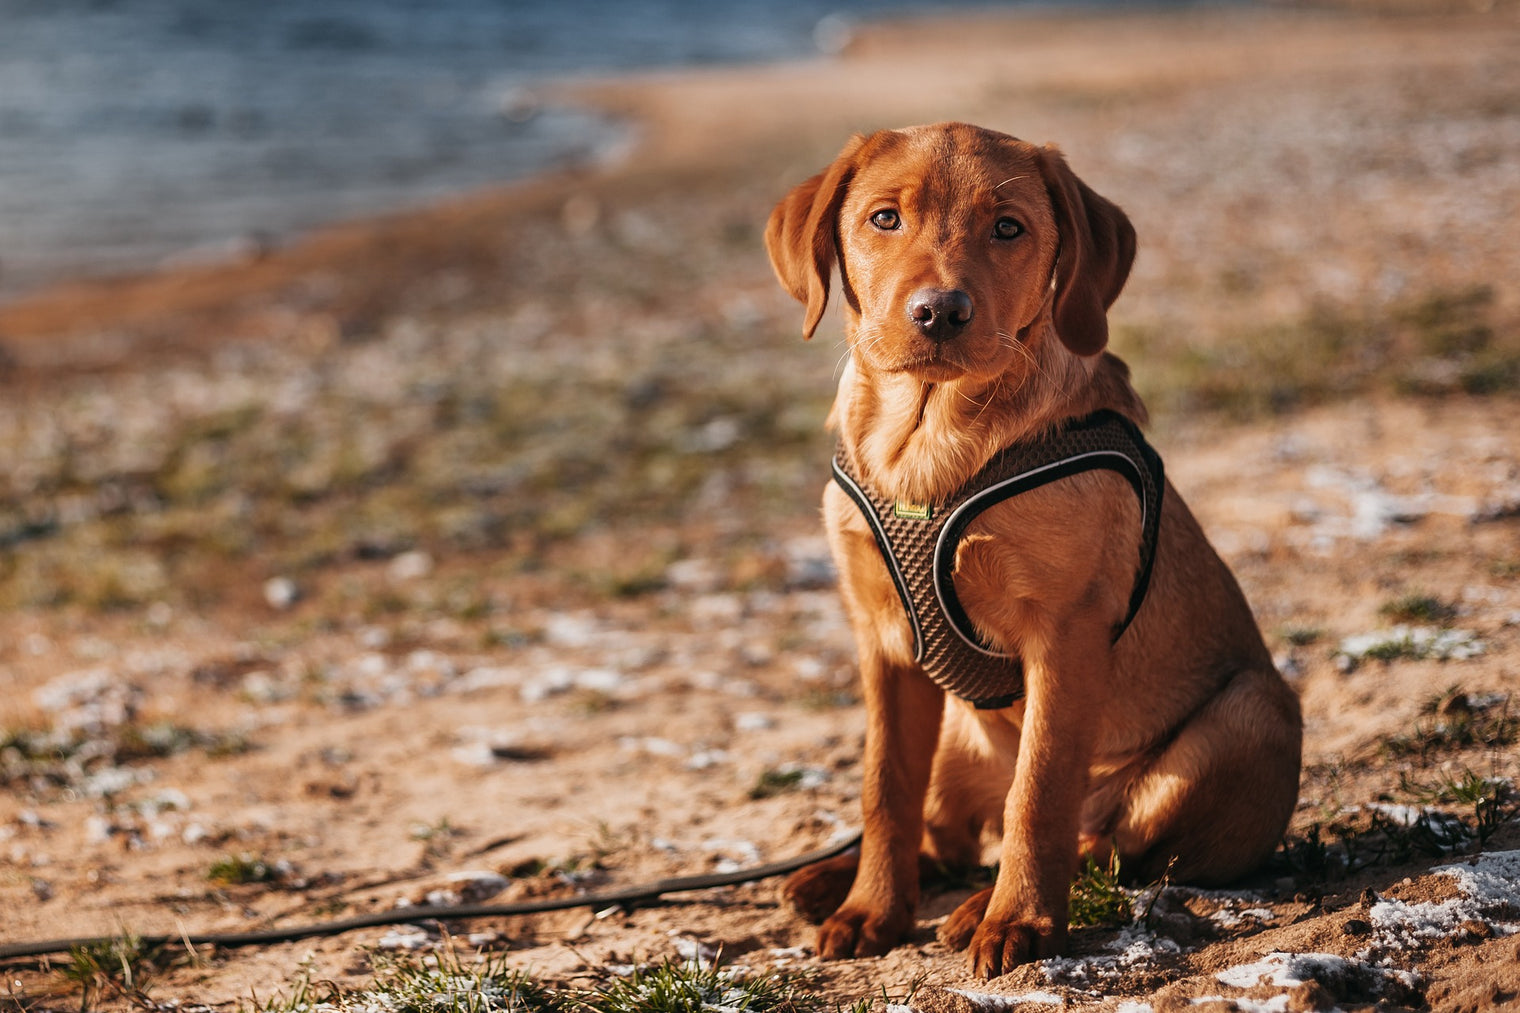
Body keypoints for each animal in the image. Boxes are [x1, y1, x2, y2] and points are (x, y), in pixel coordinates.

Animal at [766, 122, 1301, 973]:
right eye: (884, 218)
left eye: (1008, 228)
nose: (939, 311)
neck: (926, 440)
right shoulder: (881, 641)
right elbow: (885, 788)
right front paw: (873, 910)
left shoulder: (1066, 633)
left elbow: (1040, 790)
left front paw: (1021, 920)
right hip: (955, 740)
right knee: (945, 835)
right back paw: (834, 880)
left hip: (1251, 716)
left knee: (1103, 843)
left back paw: (982, 903)